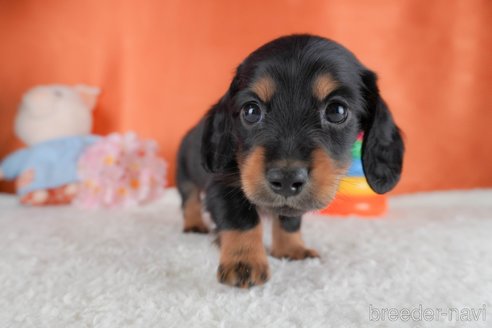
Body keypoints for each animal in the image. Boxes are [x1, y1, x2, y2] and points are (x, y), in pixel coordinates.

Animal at [177, 34, 404, 288]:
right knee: (189, 200)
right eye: (251, 111)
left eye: (336, 110)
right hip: (184, 173)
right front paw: (244, 261)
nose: (286, 180)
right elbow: (241, 220)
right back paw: (195, 225)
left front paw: (290, 249)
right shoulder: (222, 186)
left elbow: (289, 220)